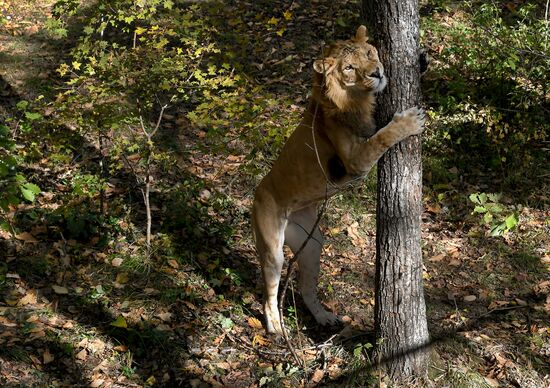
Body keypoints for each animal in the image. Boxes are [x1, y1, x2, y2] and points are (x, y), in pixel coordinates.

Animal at [252, 25, 424, 334]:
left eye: (369, 53)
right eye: (349, 68)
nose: (377, 73)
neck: (355, 99)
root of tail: (256, 192)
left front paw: (422, 61)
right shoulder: (356, 161)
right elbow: (382, 137)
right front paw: (410, 121)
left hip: (312, 242)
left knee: (306, 287)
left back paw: (325, 318)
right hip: (272, 246)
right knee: (269, 290)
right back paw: (275, 326)